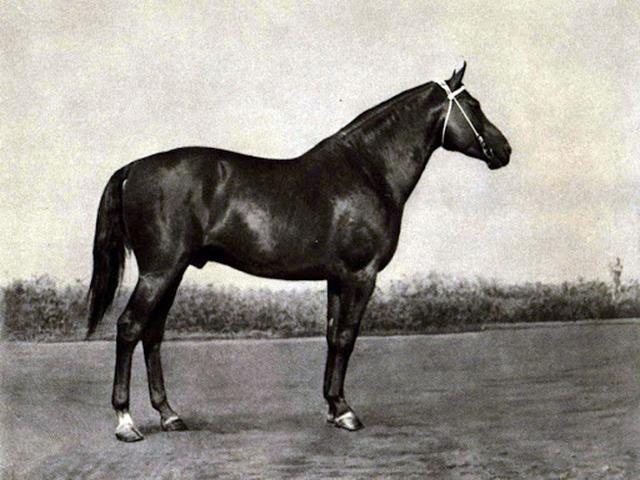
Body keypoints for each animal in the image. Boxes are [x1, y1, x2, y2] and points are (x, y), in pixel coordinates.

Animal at [87, 62, 511, 442]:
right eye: (473, 105)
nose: (504, 149)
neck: (367, 171)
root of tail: (133, 168)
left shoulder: (337, 278)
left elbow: (332, 335)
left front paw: (333, 408)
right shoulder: (361, 275)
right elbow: (347, 337)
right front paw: (347, 413)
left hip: (172, 273)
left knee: (153, 334)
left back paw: (169, 415)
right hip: (160, 271)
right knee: (129, 327)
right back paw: (126, 423)